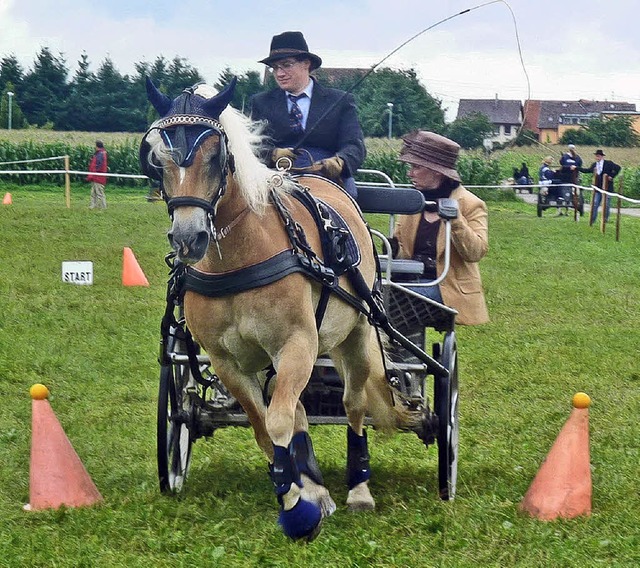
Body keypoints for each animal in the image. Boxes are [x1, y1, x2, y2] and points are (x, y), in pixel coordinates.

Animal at [140, 77, 420, 540]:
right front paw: (299, 497)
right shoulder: (229, 361)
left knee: (353, 404)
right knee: (299, 411)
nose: (188, 239)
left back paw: (359, 489)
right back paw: (317, 489)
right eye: (155, 160)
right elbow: (264, 428)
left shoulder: (297, 343)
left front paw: (296, 512)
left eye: (217, 156)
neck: (238, 259)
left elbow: (277, 422)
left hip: (355, 335)